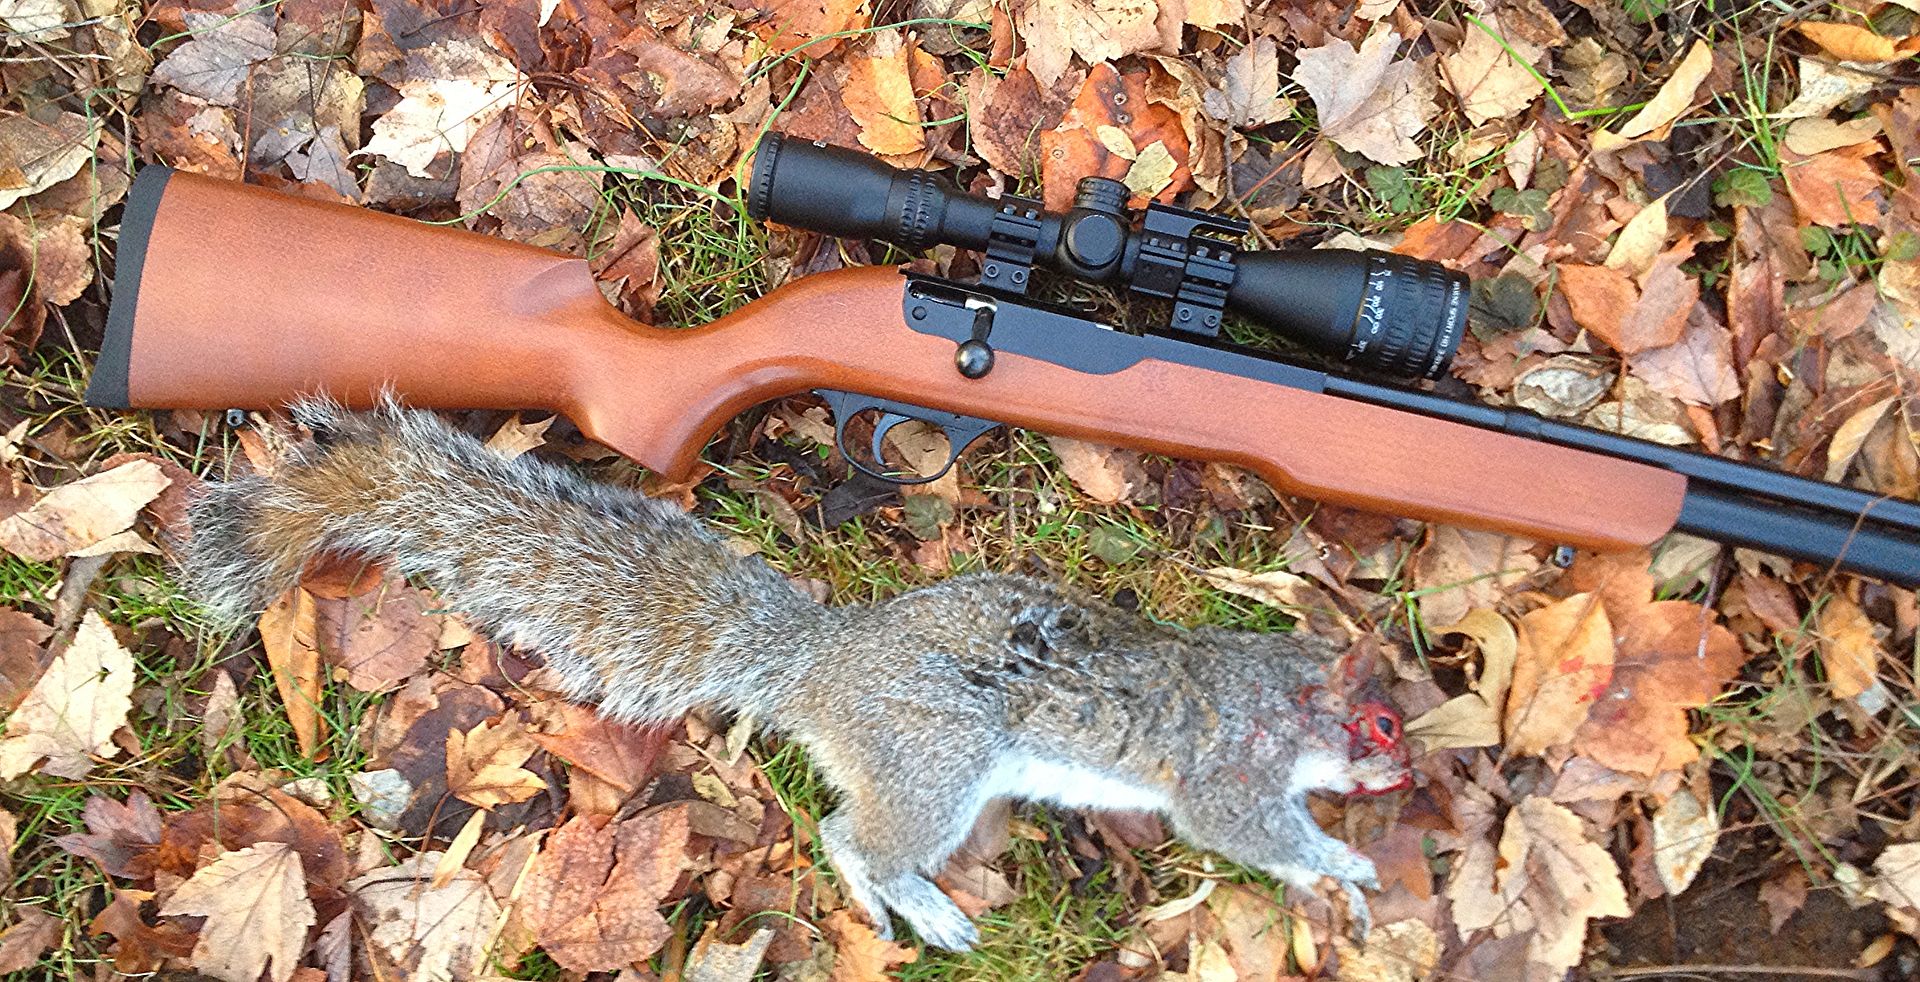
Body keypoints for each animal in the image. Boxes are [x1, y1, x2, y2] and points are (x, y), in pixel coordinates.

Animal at [180, 397, 1412, 951]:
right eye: (1384, 728)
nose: (1411, 785)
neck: (1277, 687)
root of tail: (823, 666)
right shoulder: (1229, 768)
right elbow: (1244, 829)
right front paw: (1345, 863)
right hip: (934, 763)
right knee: (852, 836)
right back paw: (912, 904)